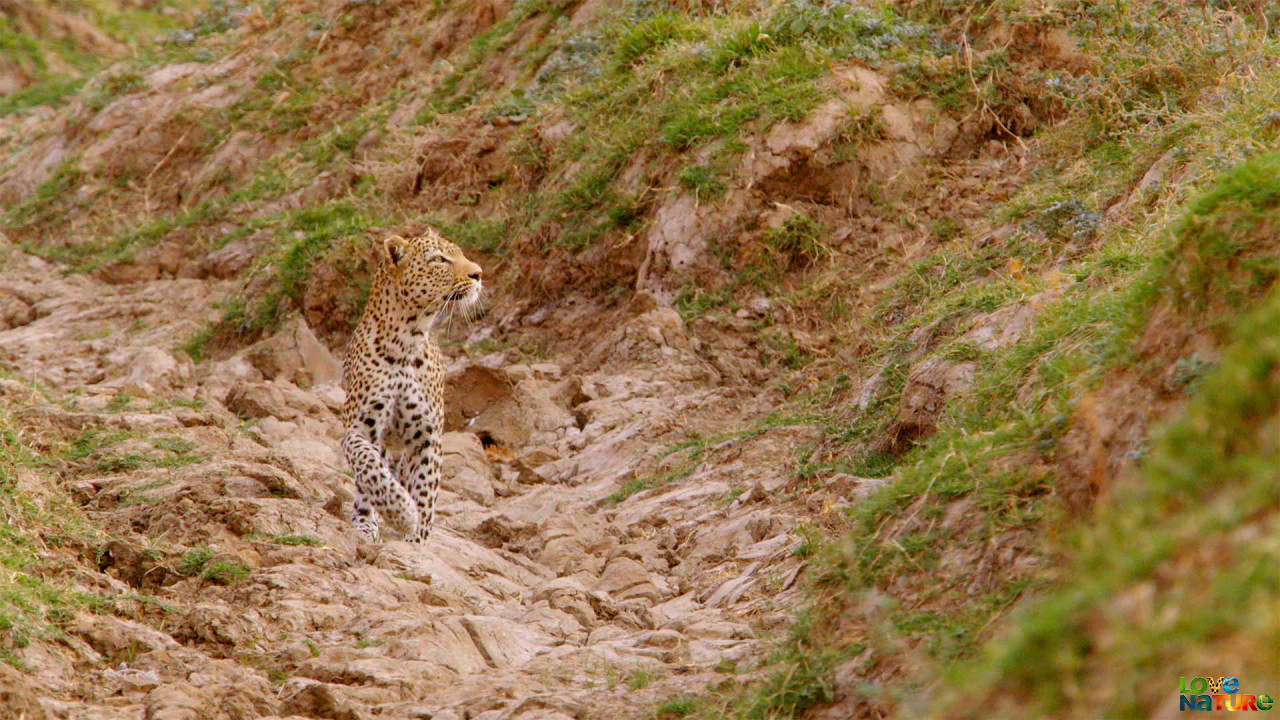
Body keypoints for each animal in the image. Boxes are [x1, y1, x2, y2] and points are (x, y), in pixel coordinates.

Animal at [340, 233, 481, 540]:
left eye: (461, 254)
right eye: (439, 259)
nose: (478, 274)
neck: (406, 341)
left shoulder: (426, 435)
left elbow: (425, 488)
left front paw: (416, 536)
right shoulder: (360, 429)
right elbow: (371, 470)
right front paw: (402, 513)